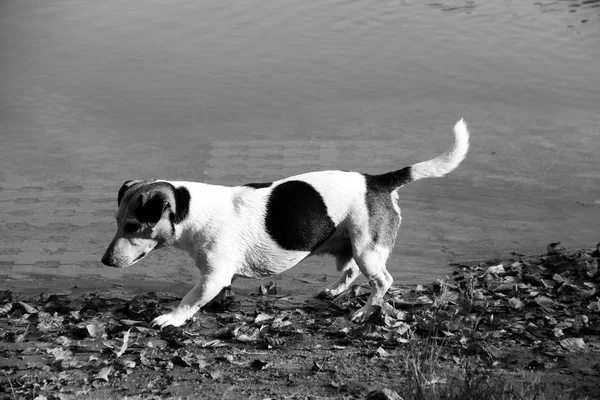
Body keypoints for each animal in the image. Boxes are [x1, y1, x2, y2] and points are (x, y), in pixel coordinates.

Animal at [102, 119, 468, 328]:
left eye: (132, 226)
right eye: (116, 221)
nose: (104, 261)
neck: (193, 210)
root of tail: (377, 182)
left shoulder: (213, 275)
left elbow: (190, 299)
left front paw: (172, 319)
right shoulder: (219, 276)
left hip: (368, 249)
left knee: (382, 283)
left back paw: (364, 313)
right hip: (351, 245)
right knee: (350, 273)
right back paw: (334, 291)